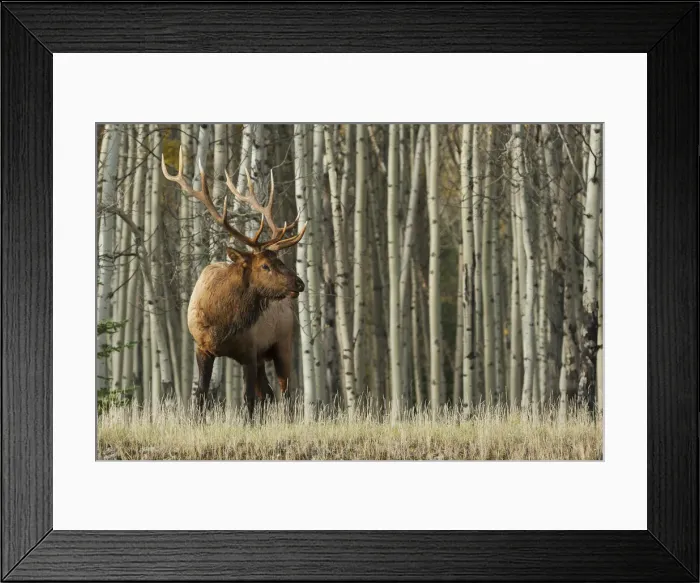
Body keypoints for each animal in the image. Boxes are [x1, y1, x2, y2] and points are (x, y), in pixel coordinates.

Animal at [161, 146, 307, 421]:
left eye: (280, 260)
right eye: (265, 265)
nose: (299, 283)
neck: (223, 323)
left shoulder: (250, 351)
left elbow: (248, 400)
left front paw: (249, 425)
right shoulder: (203, 347)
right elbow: (202, 396)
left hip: (283, 344)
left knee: (285, 393)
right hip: (264, 356)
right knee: (269, 394)